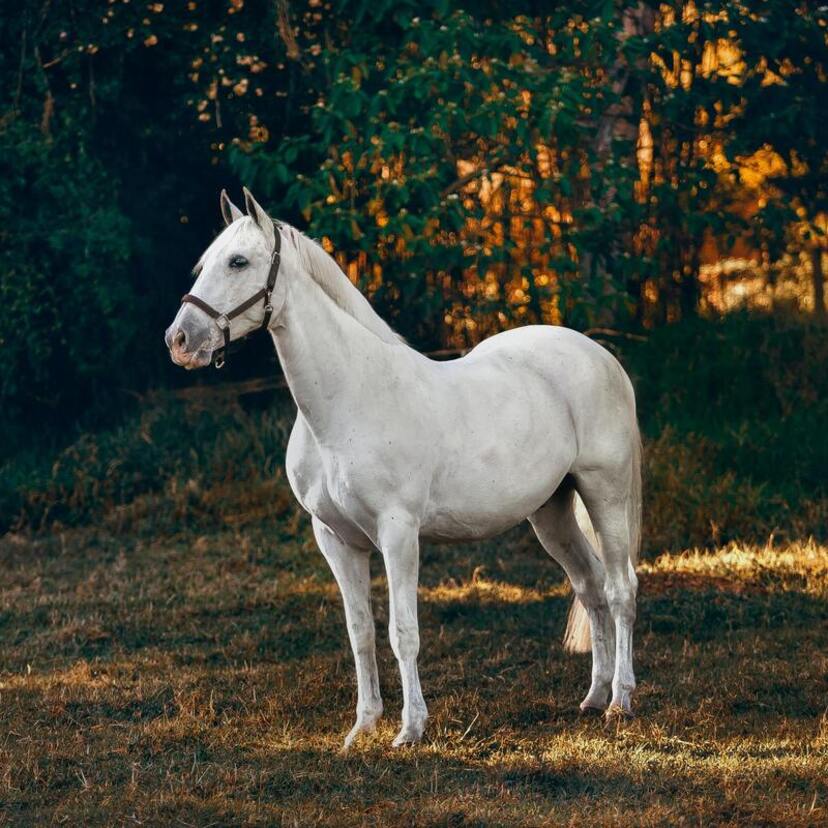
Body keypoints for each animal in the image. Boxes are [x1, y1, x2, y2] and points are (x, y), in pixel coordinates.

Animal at [165, 189, 644, 752]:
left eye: (238, 262)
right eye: (205, 264)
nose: (179, 340)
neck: (349, 399)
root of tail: (600, 356)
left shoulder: (398, 533)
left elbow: (403, 632)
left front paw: (410, 729)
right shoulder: (335, 539)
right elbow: (361, 633)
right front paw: (362, 727)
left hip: (604, 493)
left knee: (620, 588)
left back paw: (619, 701)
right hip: (551, 512)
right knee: (590, 586)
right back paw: (592, 697)